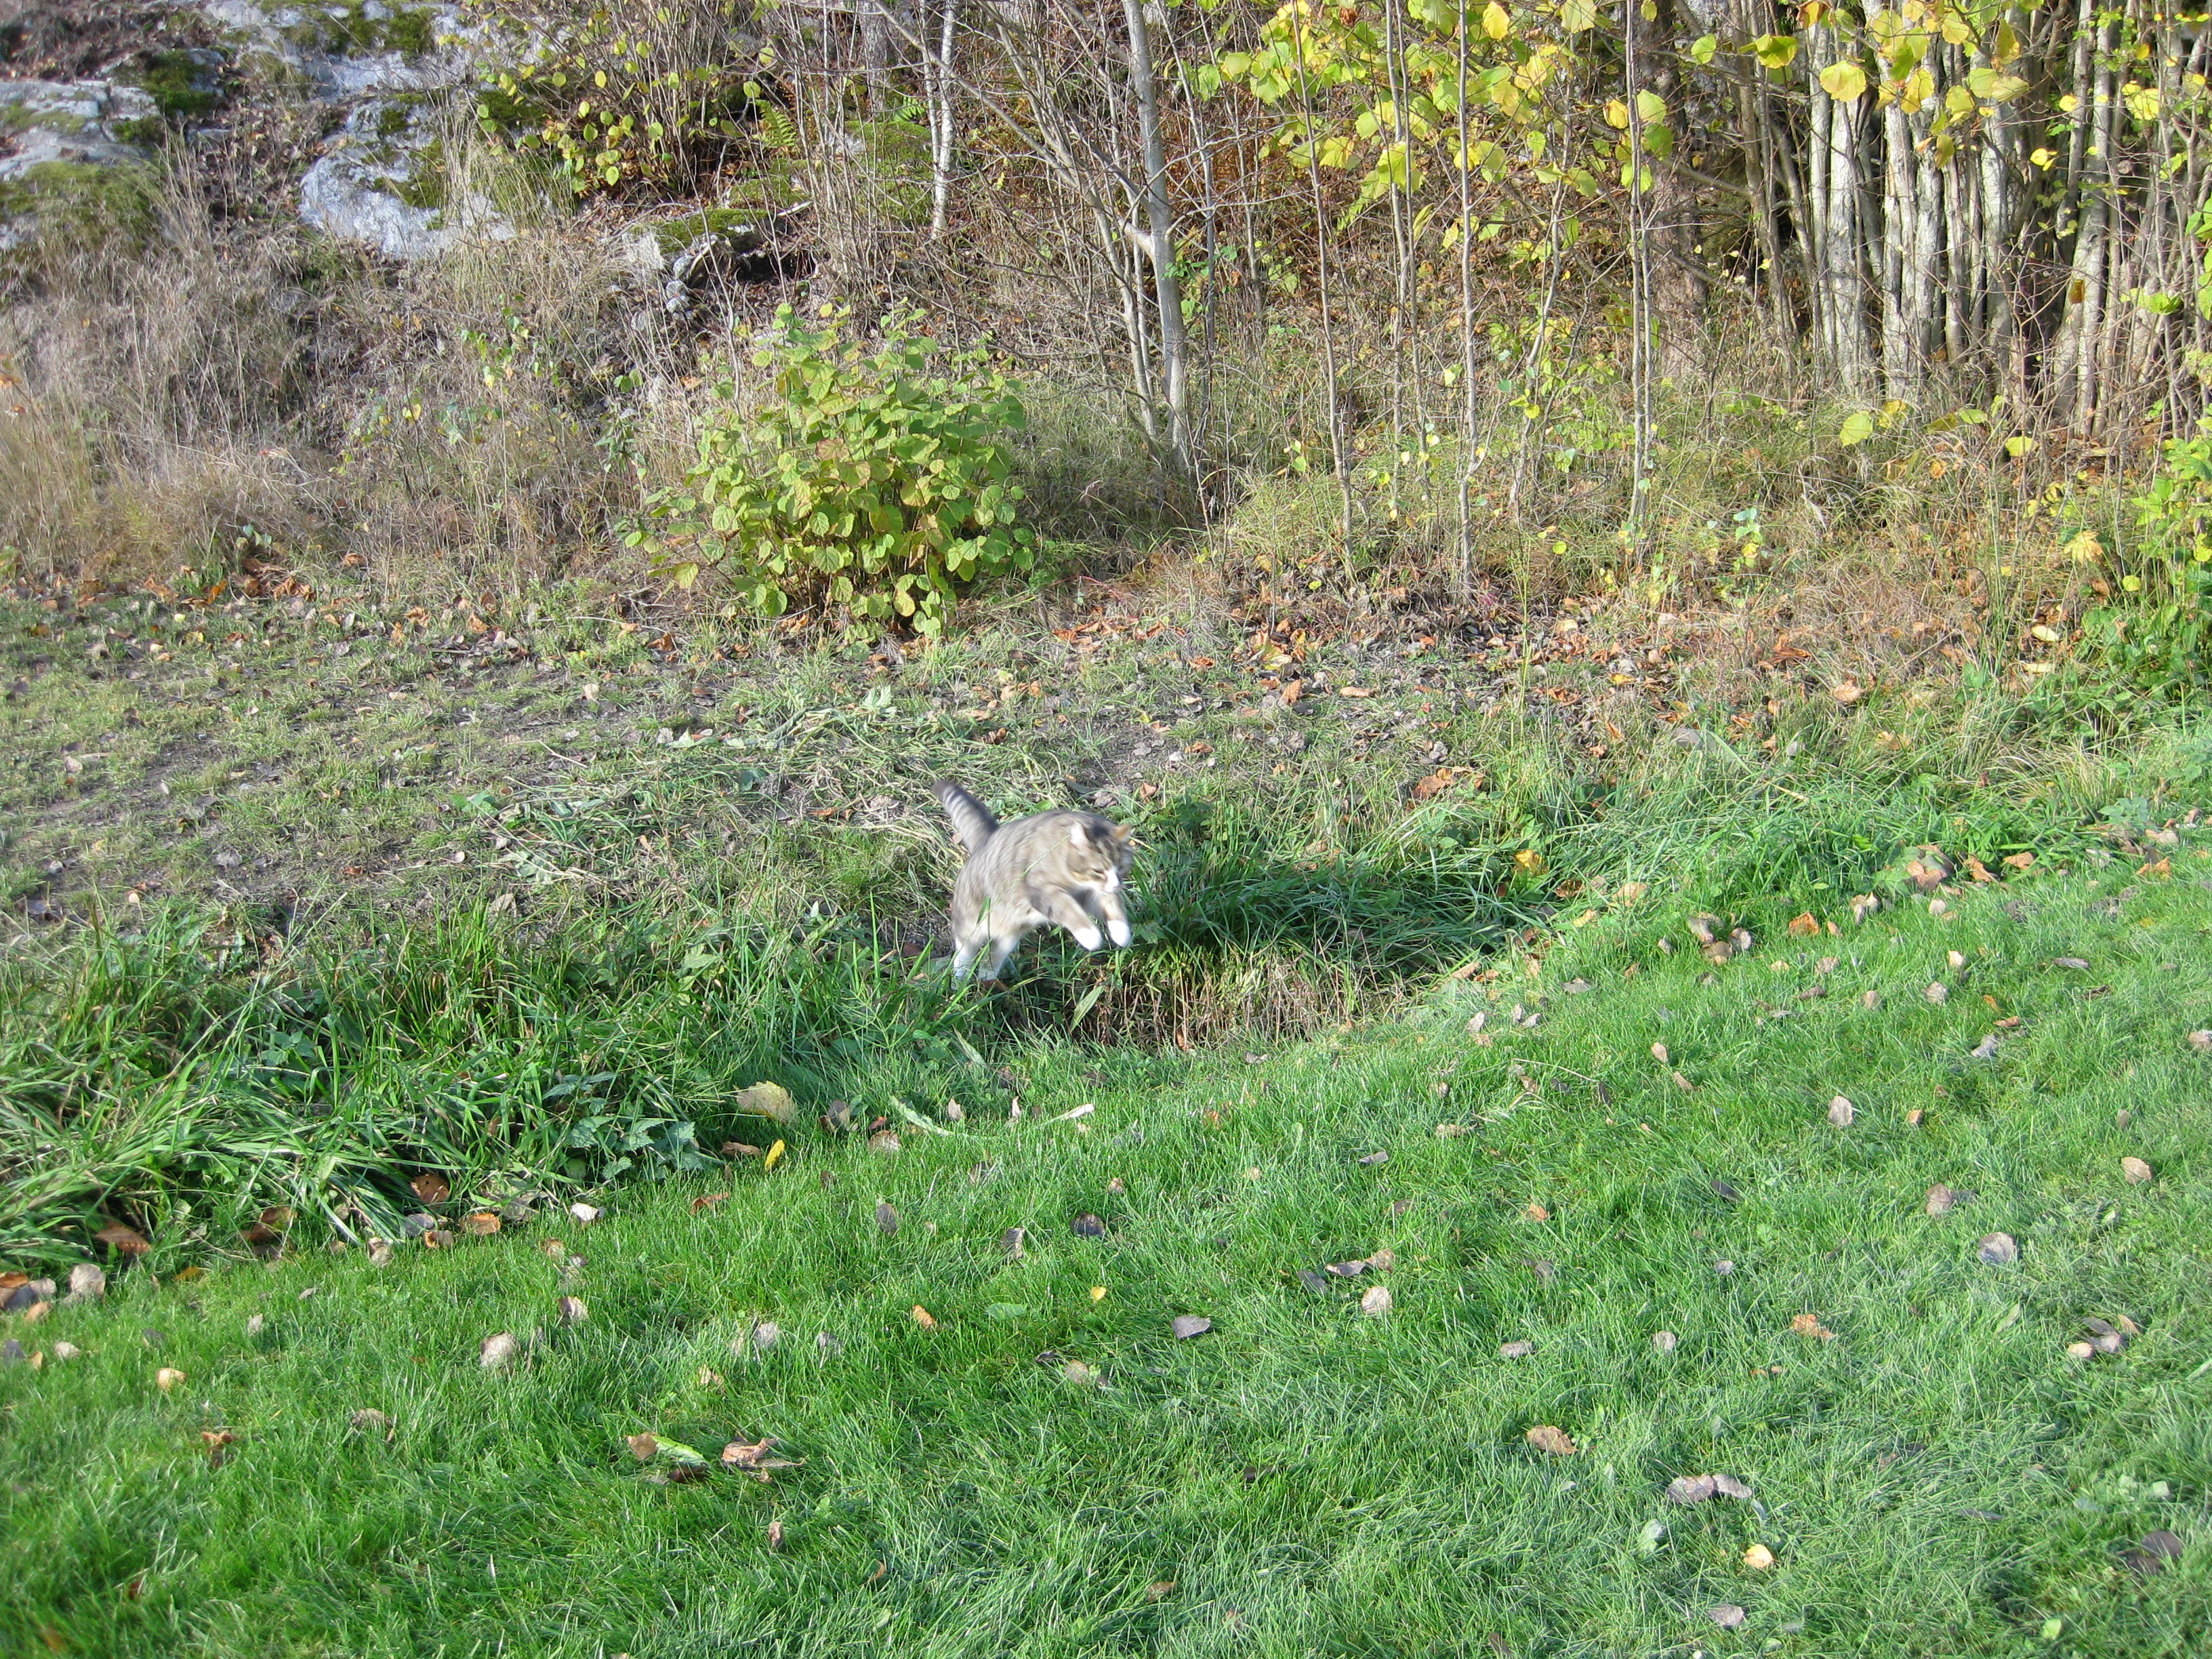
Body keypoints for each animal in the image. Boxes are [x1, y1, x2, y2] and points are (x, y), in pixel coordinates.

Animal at [934, 781, 1136, 982]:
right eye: (1098, 871)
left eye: (1121, 868)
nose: (1116, 885)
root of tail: (987, 839)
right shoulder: (1043, 891)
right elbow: (1069, 911)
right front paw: (1091, 936)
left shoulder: (1089, 895)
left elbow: (1113, 906)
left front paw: (1121, 933)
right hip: (972, 924)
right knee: (964, 949)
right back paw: (960, 977)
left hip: (1008, 937)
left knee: (993, 956)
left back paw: (987, 976)